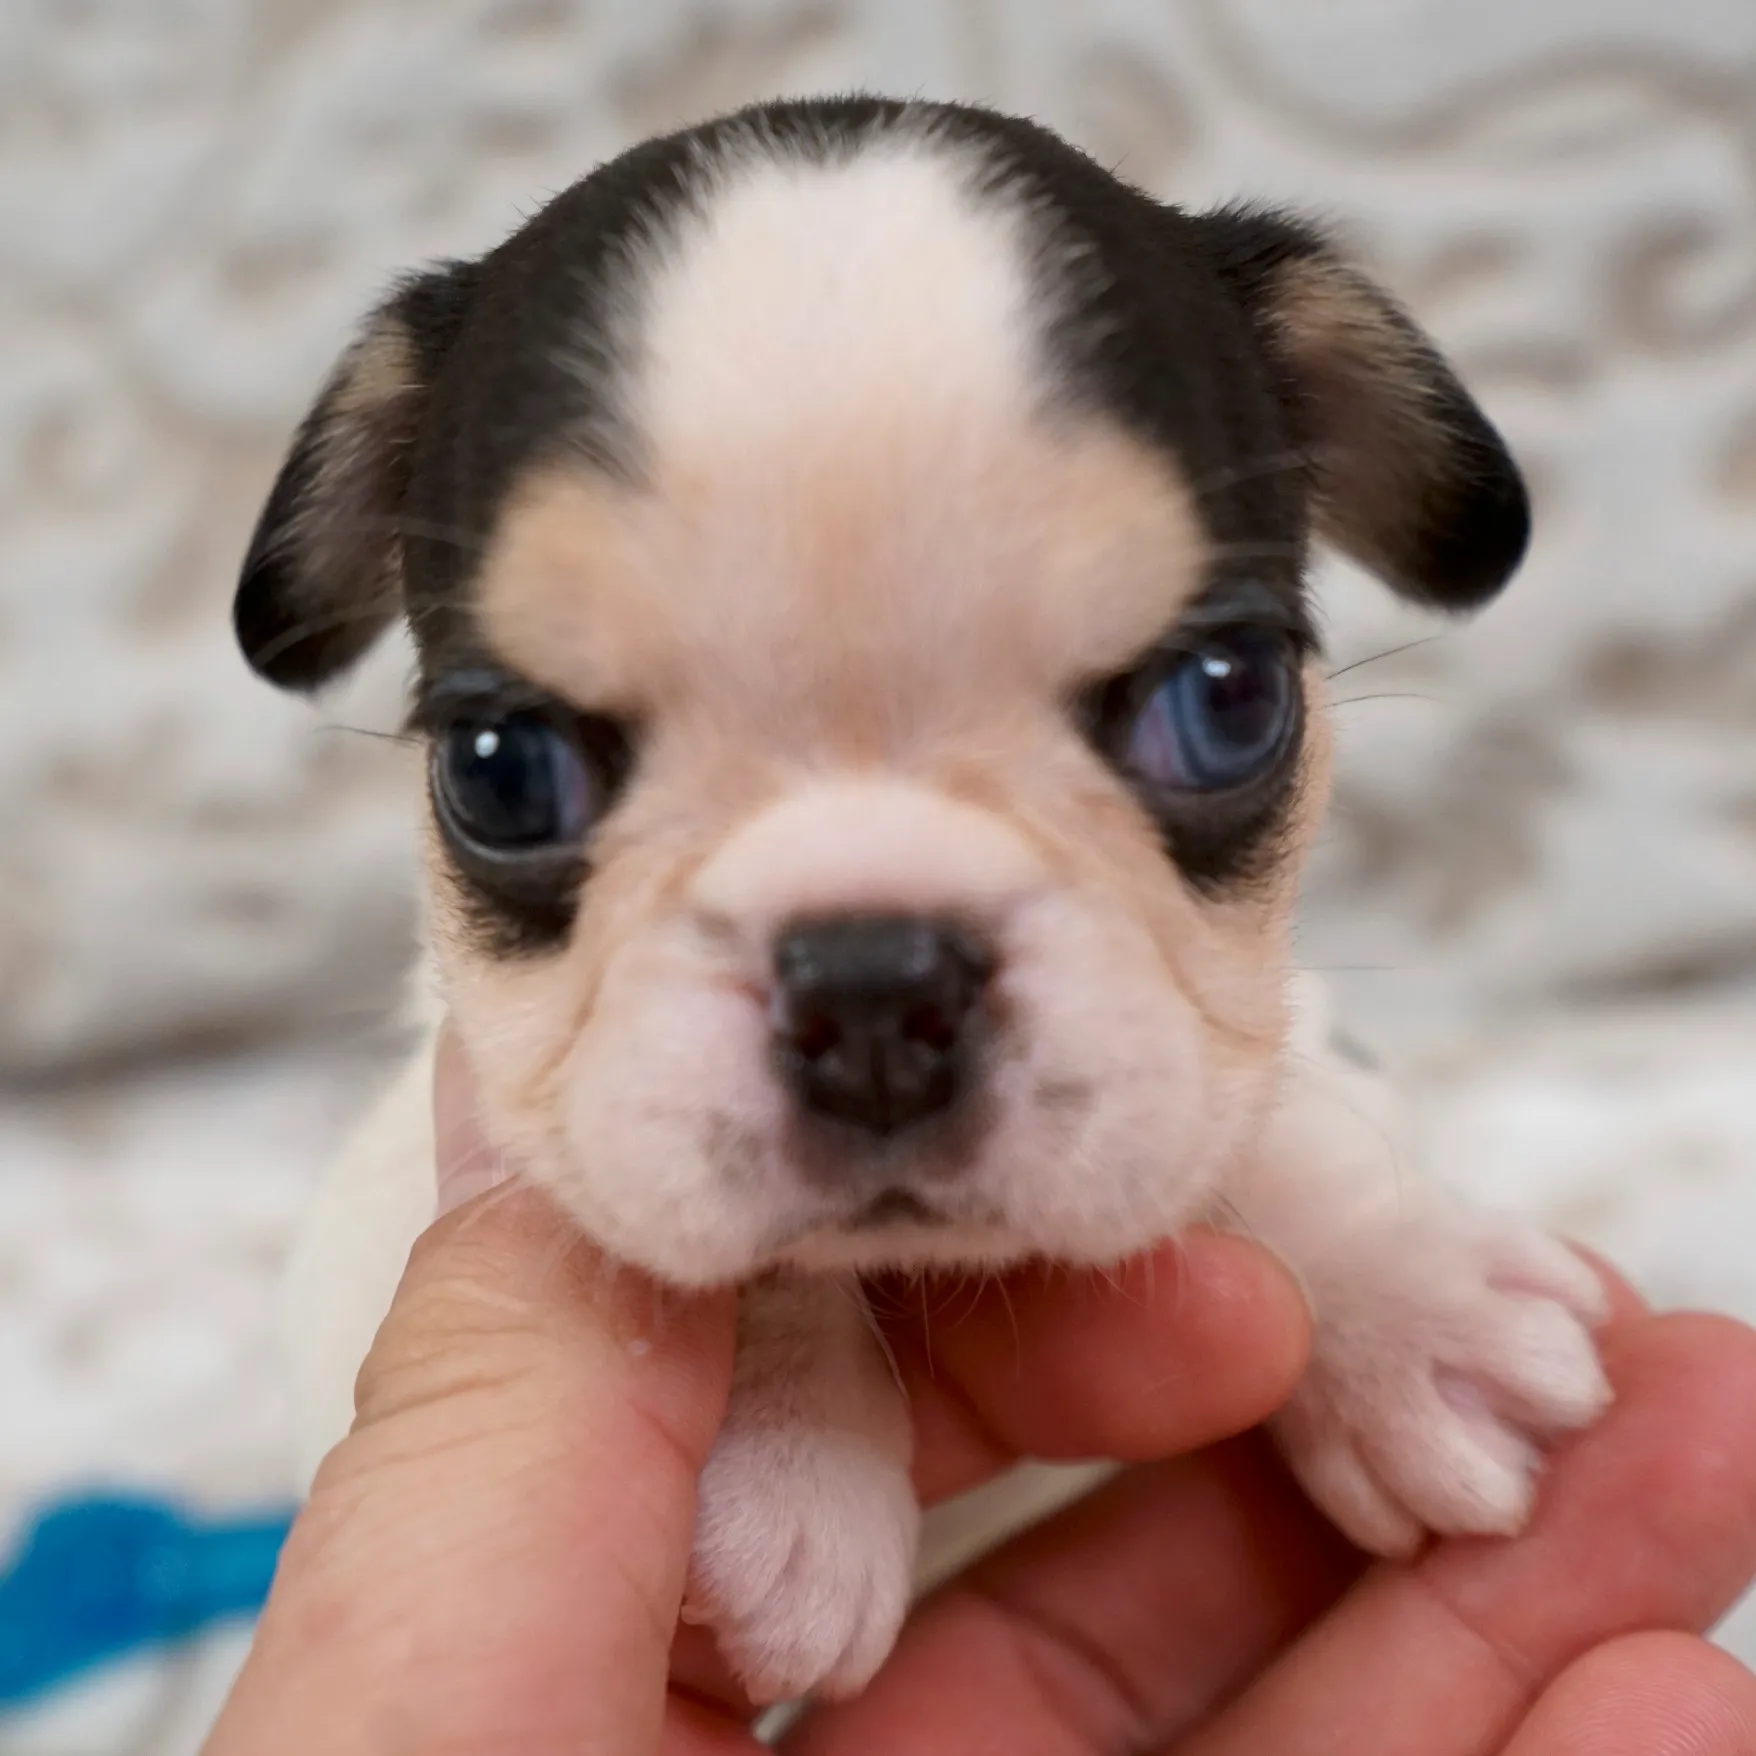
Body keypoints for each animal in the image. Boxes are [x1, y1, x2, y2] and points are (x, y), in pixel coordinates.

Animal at [234, 95, 1612, 1707]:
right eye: (499, 769)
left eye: (1227, 699)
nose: (874, 982)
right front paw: (790, 1461)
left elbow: (1273, 1108)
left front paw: (1419, 1311)